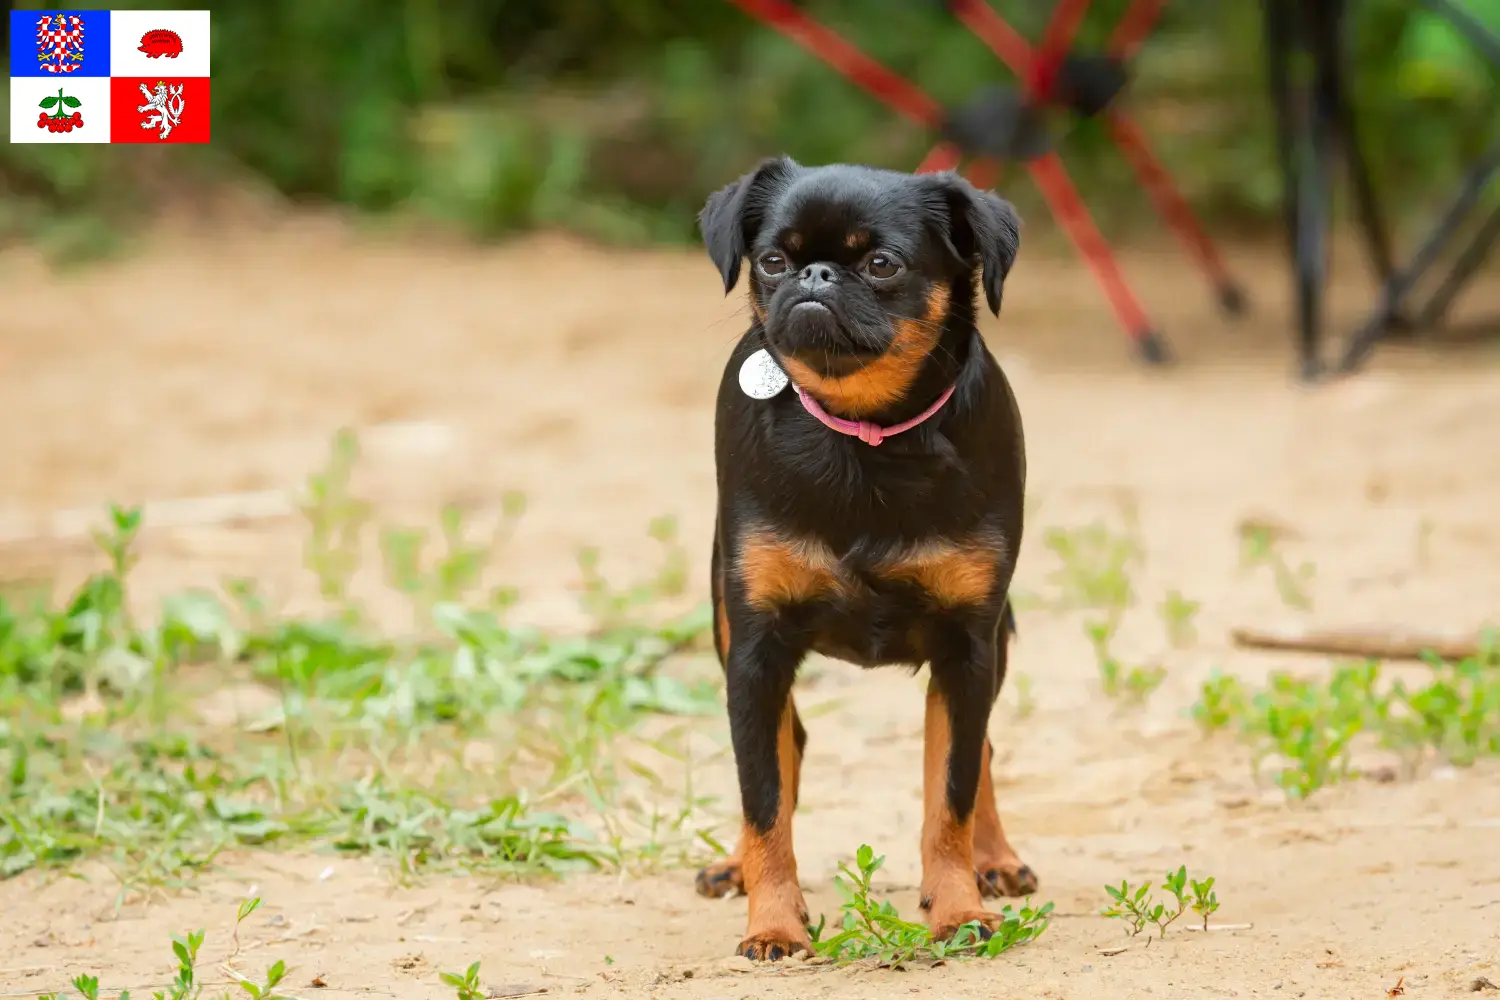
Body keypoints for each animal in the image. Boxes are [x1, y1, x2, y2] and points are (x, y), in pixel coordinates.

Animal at [696, 156, 1038, 959]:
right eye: (772, 261)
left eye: (883, 264)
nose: (815, 275)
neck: (865, 432)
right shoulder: (754, 652)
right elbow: (764, 798)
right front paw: (774, 923)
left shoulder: (968, 650)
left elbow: (951, 793)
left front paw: (958, 908)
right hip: (726, 625)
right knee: (781, 750)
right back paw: (735, 865)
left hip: (998, 643)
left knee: (980, 755)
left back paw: (995, 858)